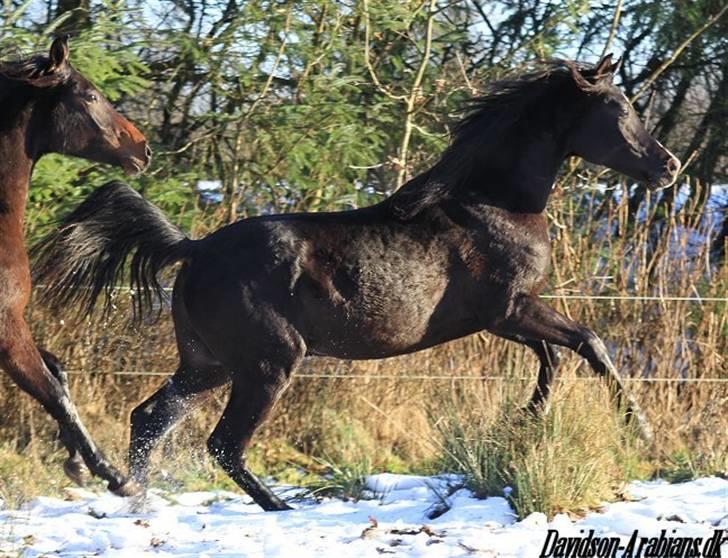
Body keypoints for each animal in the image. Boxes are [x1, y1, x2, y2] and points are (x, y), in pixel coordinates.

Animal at [0, 37, 151, 494]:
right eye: (90, 95)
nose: (143, 149)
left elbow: (59, 371)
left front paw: (76, 462)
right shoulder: (8, 330)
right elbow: (56, 394)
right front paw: (115, 475)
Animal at [32, 54, 684, 510]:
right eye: (620, 108)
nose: (668, 166)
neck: (492, 201)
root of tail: (191, 250)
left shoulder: (503, 318)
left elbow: (554, 358)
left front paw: (526, 422)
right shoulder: (512, 309)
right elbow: (587, 343)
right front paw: (642, 430)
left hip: (207, 363)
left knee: (151, 417)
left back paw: (136, 497)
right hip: (268, 363)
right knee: (222, 443)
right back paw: (279, 507)